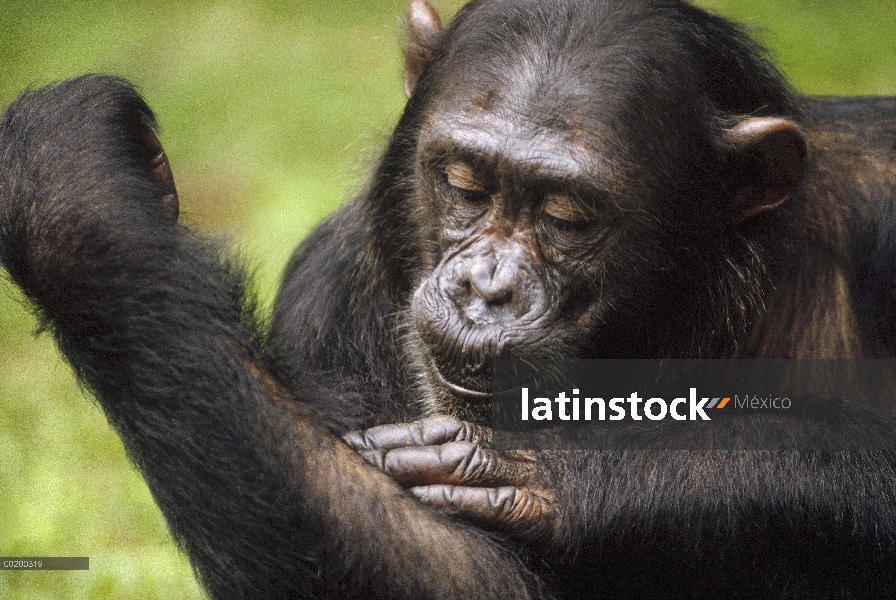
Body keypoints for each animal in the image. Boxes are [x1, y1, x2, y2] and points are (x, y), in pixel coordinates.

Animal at [1, 0, 896, 596]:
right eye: (464, 183)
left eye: (567, 217)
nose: (485, 286)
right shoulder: (328, 299)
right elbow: (455, 570)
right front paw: (75, 203)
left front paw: (561, 468)